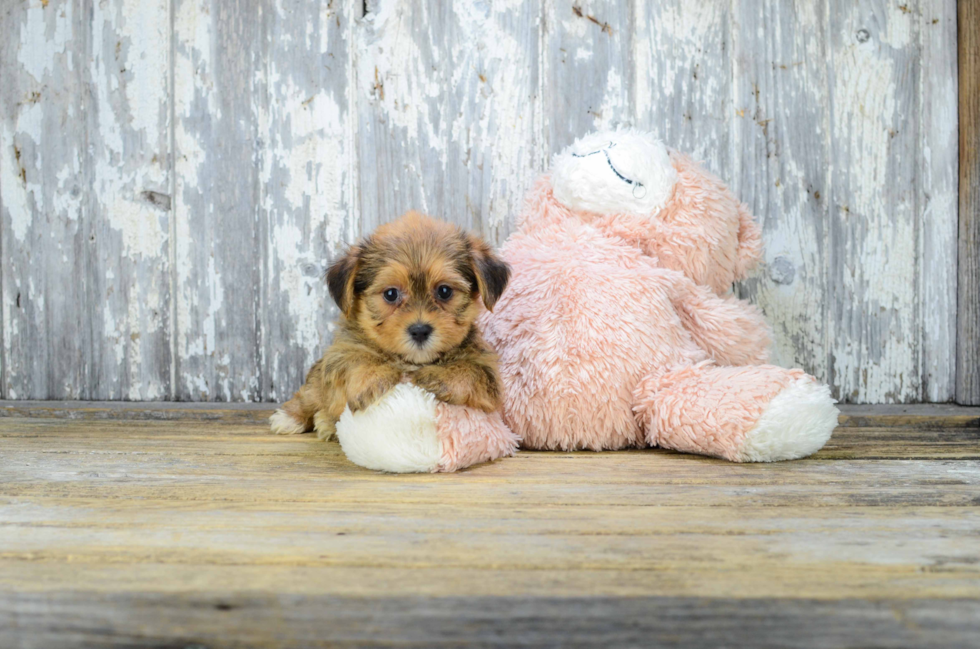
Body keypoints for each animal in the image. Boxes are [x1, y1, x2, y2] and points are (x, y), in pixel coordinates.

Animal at [270, 213, 510, 440]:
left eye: (444, 291)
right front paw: (373, 378)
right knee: (310, 394)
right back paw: (294, 417)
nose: (420, 330)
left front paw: (438, 376)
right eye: (391, 294)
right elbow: (356, 361)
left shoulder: (487, 370)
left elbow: (471, 372)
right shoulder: (340, 354)